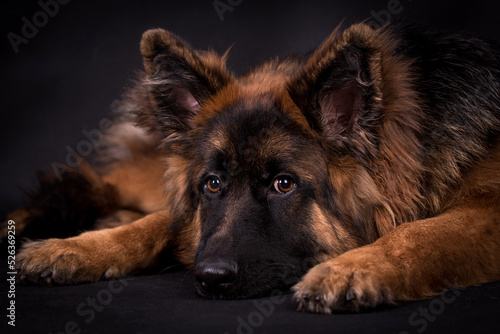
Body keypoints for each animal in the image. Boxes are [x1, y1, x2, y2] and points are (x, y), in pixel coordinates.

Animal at [7, 23, 500, 314]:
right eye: (212, 183)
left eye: (284, 184)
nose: (209, 278)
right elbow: (157, 223)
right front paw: (74, 249)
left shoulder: (488, 208)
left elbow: (419, 233)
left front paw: (352, 267)